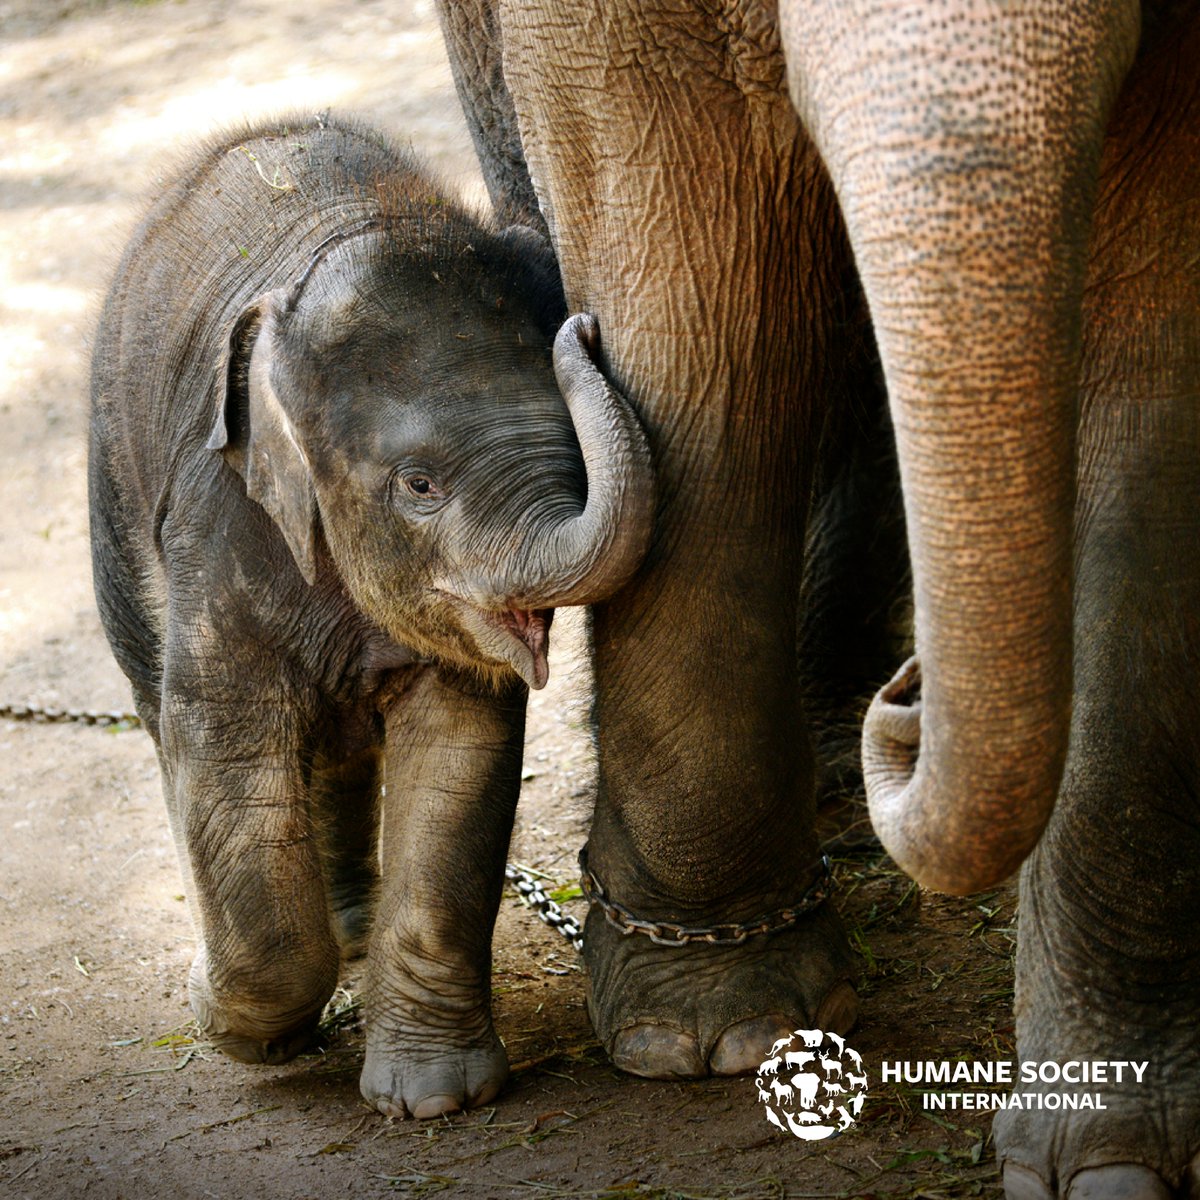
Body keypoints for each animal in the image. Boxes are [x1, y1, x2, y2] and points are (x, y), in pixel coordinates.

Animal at [88, 113, 653, 1118]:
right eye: (419, 485)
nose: (585, 328)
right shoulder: (220, 519)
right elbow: (221, 739)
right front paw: (224, 1021)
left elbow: (462, 750)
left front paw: (434, 1099)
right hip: (113, 491)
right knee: (163, 720)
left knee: (340, 752)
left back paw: (352, 931)